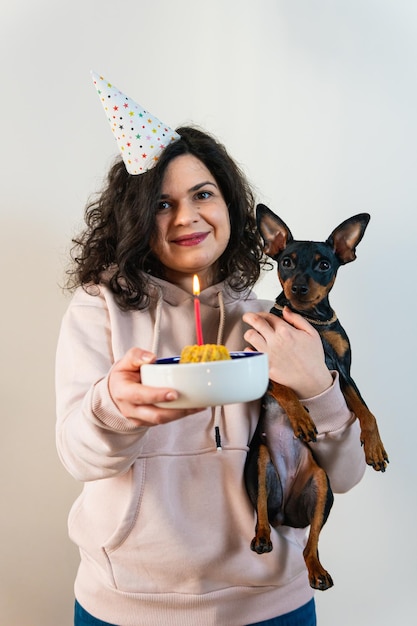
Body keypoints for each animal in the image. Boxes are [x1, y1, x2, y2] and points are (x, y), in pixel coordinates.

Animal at [244, 202, 386, 588]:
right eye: (286, 262)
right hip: (260, 463)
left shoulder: (343, 372)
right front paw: (302, 419)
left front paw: (375, 449)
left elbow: (366, 411)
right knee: (261, 512)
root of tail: (285, 514)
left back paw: (317, 571)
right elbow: (284, 388)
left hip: (322, 485)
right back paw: (262, 537)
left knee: (312, 542)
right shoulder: (263, 363)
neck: (310, 320)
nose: (299, 287)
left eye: (324, 265)